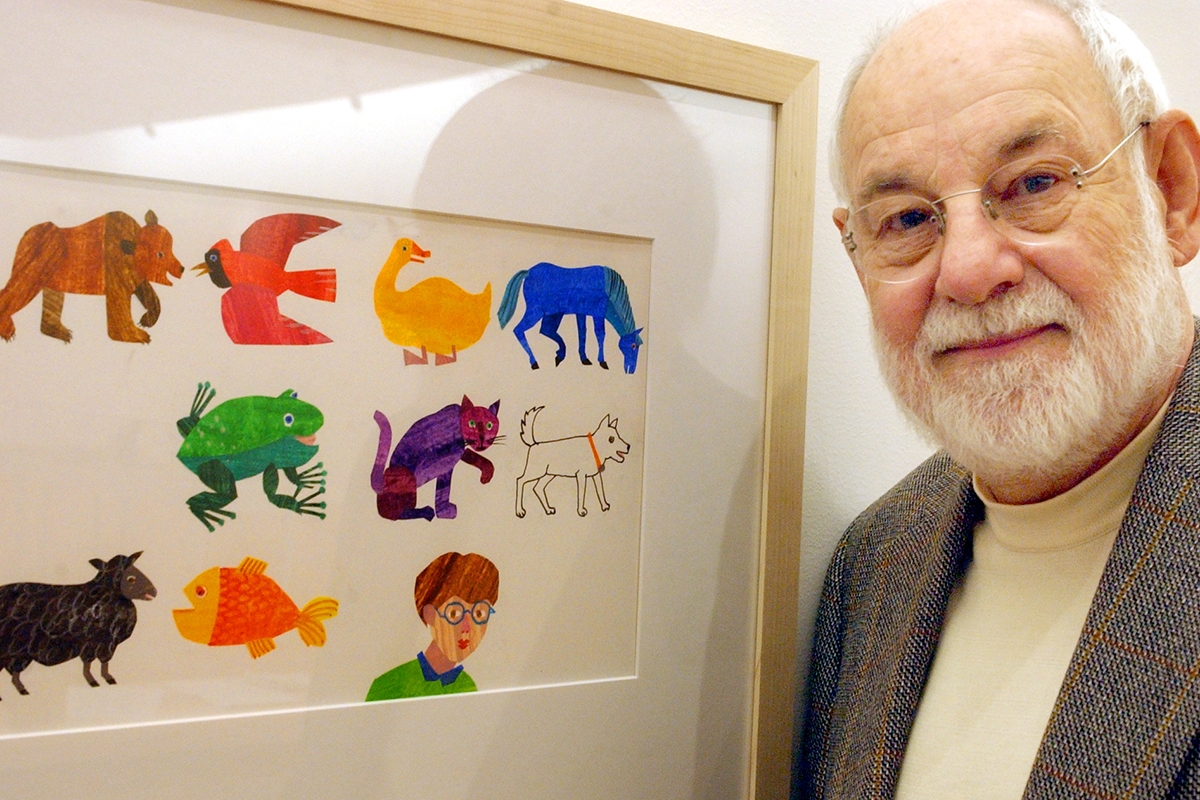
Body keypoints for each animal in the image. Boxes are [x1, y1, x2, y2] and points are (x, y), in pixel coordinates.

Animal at [0, 554, 156, 695]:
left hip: (18, 654)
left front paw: (105, 679)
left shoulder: (104, 644)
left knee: (14, 673)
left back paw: (22, 690)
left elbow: (100, 663)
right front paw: (94, 681)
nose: (154, 591)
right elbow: (90, 664)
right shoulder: (94, 643)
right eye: (131, 578)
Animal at [496, 262, 648, 376]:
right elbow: (600, 334)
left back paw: (559, 355)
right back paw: (535, 362)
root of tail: (528, 272)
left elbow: (582, 333)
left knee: (546, 330)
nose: (631, 370)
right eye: (633, 346)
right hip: (536, 311)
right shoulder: (598, 313)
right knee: (519, 330)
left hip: (553, 314)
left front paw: (584, 358)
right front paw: (602, 361)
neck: (608, 290)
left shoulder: (581, 312)